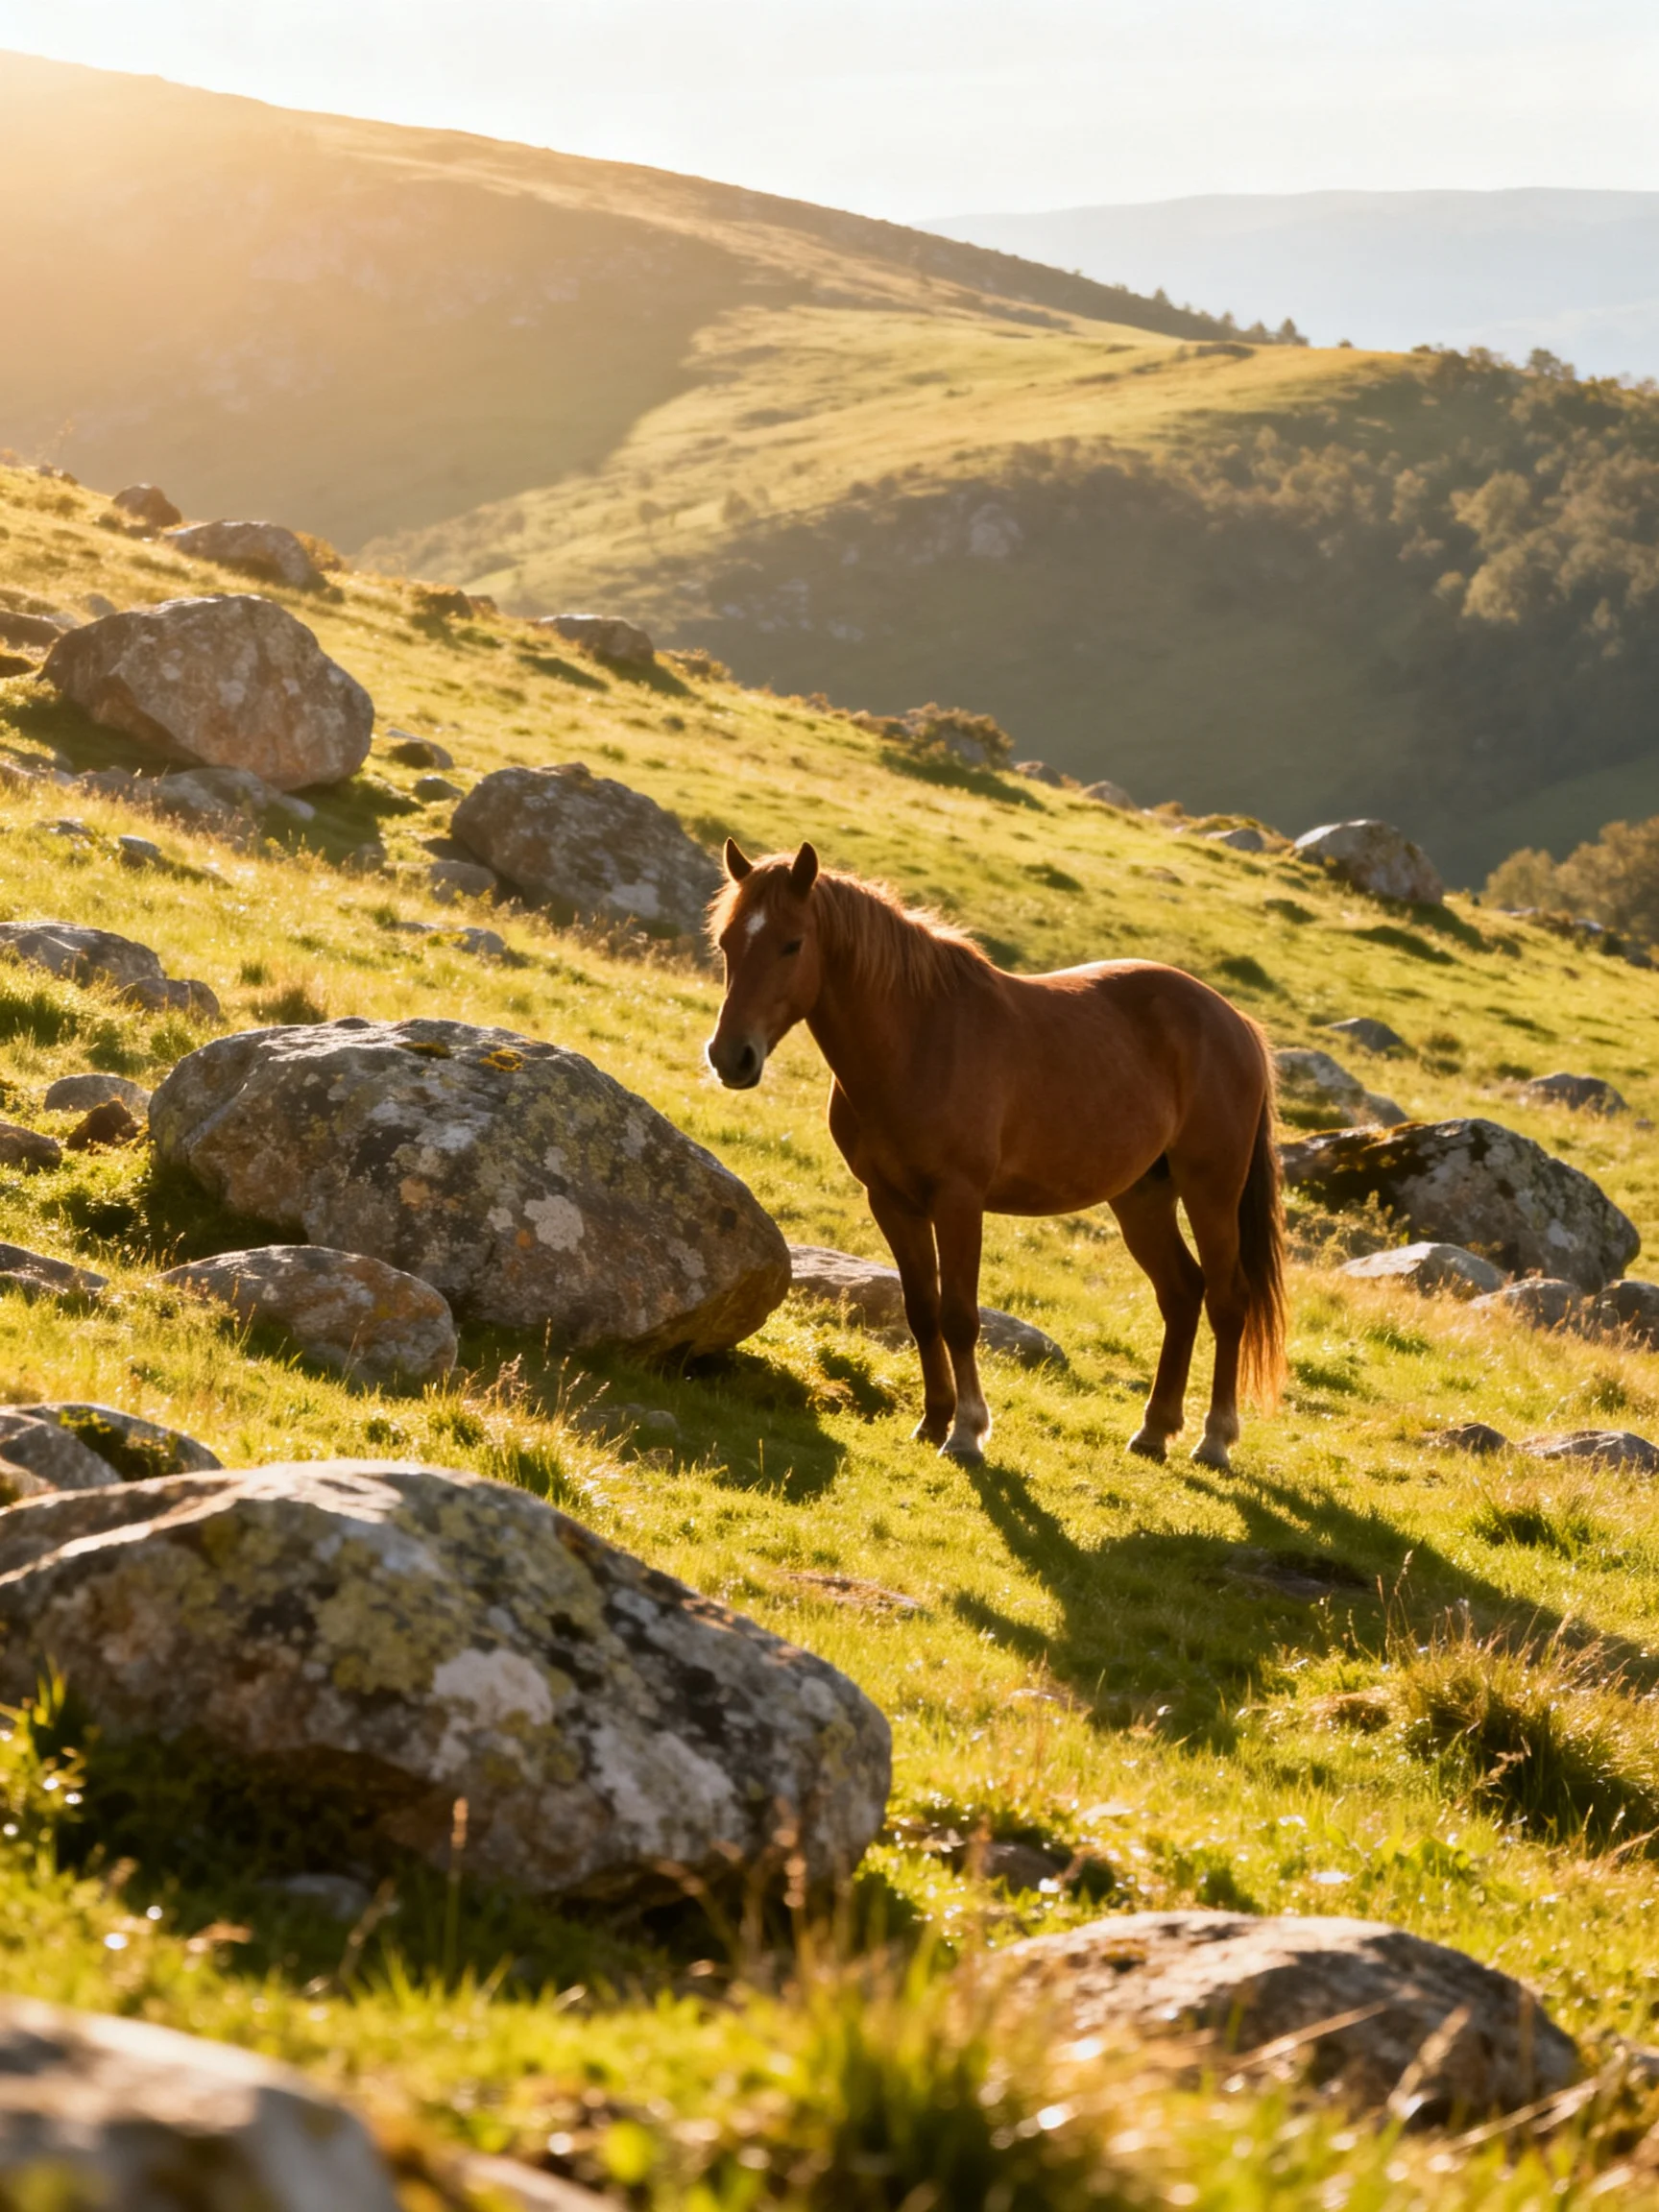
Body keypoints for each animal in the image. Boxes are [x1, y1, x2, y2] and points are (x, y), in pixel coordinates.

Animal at [704, 839, 1286, 1471]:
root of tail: (1235, 1021)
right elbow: (921, 1310)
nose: (731, 1056)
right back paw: (1154, 1431)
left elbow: (960, 1317)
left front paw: (967, 1432)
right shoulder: (892, 1201)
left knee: (1228, 1300)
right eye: (727, 941)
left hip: (1211, 1191)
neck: (917, 1040)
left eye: (792, 943)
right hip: (1142, 1197)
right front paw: (933, 1420)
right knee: (1181, 1294)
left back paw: (1215, 1439)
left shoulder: (959, 1200)